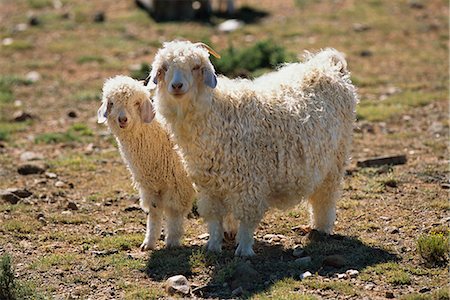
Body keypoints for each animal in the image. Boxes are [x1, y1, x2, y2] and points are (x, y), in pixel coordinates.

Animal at [96, 75, 195, 251]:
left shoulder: (179, 184)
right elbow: (154, 213)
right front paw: (148, 243)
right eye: (111, 103)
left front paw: (173, 241)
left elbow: (174, 213)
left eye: (136, 103)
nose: (123, 119)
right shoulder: (150, 186)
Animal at [148, 40, 358, 255]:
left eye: (195, 67)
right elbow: (214, 218)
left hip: (335, 159)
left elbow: (247, 220)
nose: (177, 86)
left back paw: (321, 228)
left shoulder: (249, 182)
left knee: (325, 197)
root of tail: (328, 67)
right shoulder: (208, 186)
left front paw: (244, 249)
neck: (217, 113)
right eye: (164, 68)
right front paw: (213, 246)